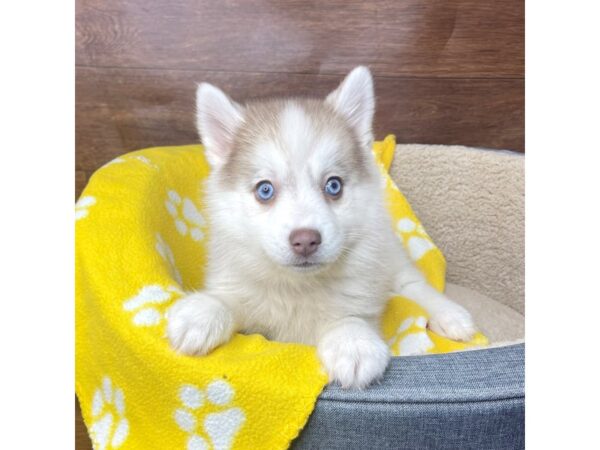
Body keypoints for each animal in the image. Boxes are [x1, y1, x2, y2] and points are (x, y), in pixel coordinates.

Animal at [166, 67, 476, 390]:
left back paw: (452, 316)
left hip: (390, 258)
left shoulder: (359, 296)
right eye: (265, 190)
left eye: (333, 185)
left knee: (414, 285)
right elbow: (230, 298)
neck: (298, 287)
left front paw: (352, 343)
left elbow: (349, 317)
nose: (306, 240)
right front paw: (203, 311)